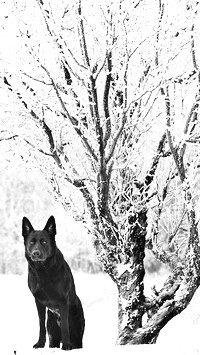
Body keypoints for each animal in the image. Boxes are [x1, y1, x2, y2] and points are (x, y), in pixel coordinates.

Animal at [22, 217, 85, 350]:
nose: (36, 253)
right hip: (53, 336)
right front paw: (40, 343)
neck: (43, 270)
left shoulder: (63, 300)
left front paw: (66, 345)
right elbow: (41, 325)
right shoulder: (38, 302)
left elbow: (65, 327)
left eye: (44, 242)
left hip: (77, 335)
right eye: (31, 242)